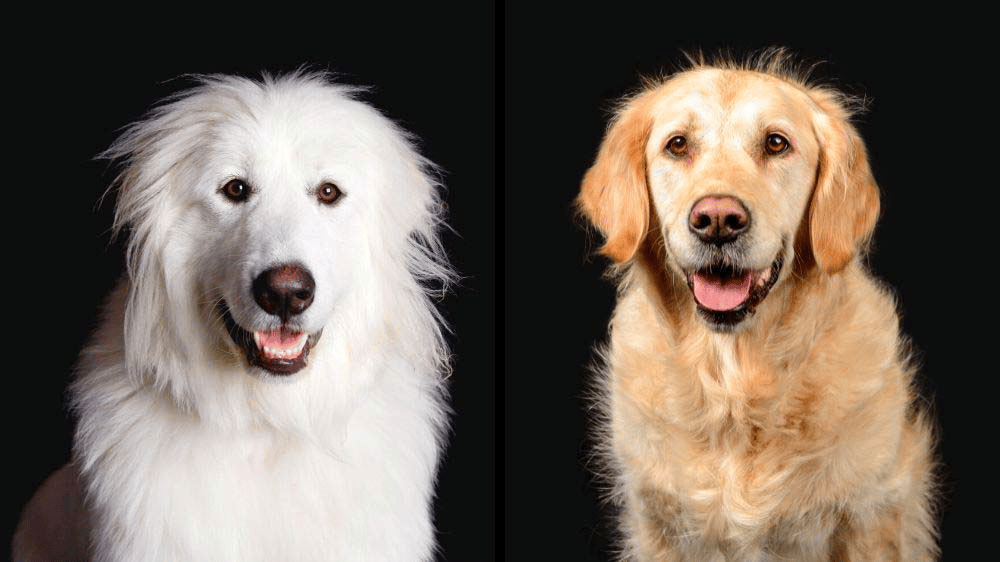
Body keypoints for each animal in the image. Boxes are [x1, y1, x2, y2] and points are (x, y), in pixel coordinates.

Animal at [580, 51, 936, 556]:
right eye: (677, 145)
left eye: (776, 143)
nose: (717, 220)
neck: (735, 387)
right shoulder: (657, 523)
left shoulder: (871, 515)